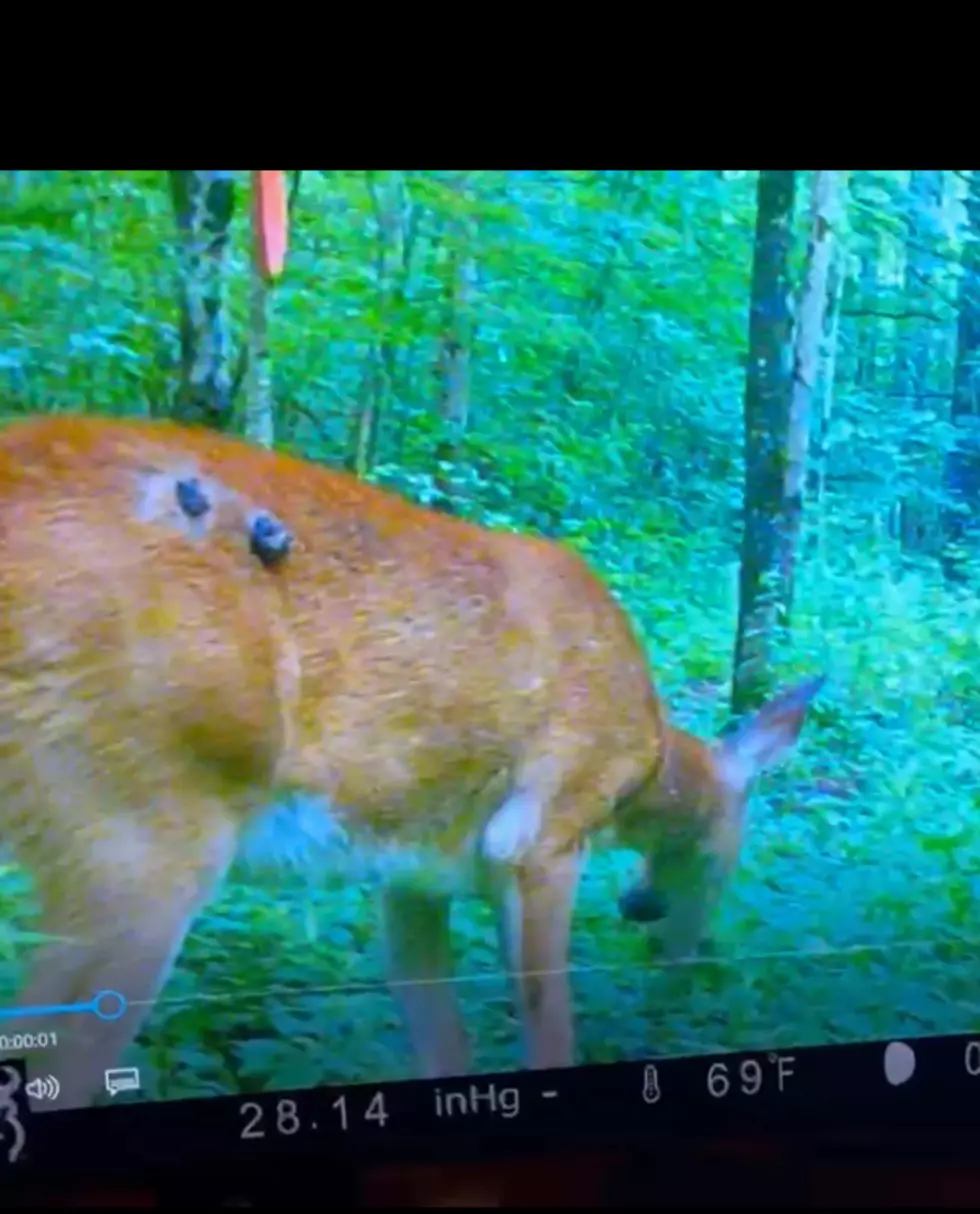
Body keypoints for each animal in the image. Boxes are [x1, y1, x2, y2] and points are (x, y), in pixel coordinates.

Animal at [0, 413, 824, 1110]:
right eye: (726, 858)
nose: (662, 934)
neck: (644, 764)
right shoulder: (543, 834)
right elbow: (549, 1030)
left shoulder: (413, 874)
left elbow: (443, 1041)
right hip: (136, 833)